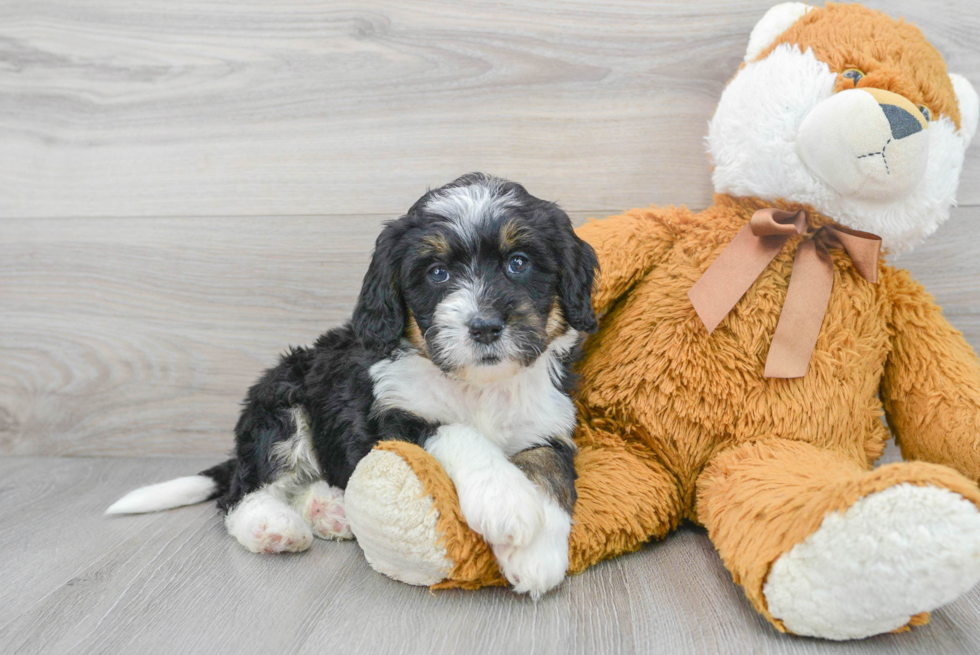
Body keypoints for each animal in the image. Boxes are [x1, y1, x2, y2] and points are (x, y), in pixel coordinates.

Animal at [105, 173, 596, 600]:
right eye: (437, 272)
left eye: (519, 263)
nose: (485, 326)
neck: (477, 387)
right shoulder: (391, 420)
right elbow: (457, 431)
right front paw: (505, 501)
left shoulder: (547, 423)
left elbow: (551, 470)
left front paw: (537, 553)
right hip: (281, 403)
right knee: (240, 492)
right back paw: (272, 526)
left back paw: (331, 509)